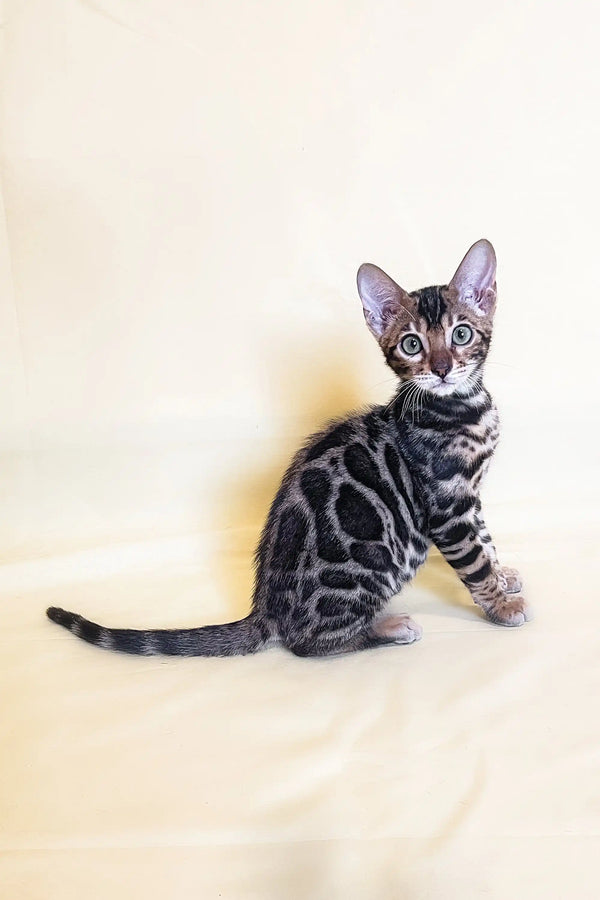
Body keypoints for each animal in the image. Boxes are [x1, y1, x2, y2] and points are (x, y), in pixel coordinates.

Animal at [48, 239, 528, 656]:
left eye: (461, 334)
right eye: (412, 344)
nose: (443, 368)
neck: (465, 408)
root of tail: (266, 609)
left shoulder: (469, 496)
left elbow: (486, 540)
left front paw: (504, 577)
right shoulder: (447, 505)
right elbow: (474, 559)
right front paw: (501, 604)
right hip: (371, 564)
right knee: (308, 642)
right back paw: (389, 627)